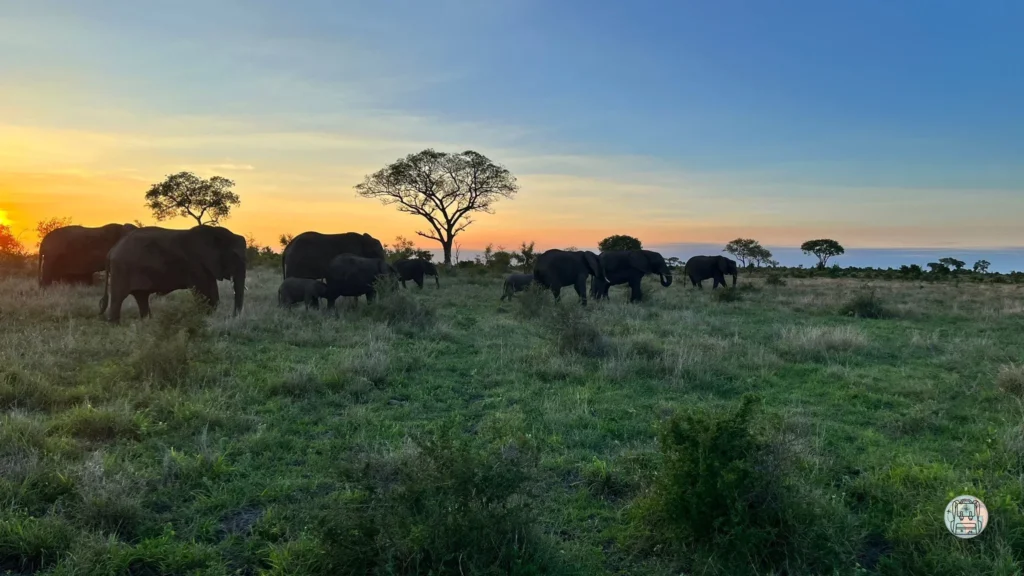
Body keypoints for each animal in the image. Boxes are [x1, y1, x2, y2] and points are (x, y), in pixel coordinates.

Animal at [99, 225, 247, 323]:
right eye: (235, 256)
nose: (232, 316)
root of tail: (111, 250)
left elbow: (212, 292)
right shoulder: (195, 263)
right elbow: (203, 292)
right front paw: (205, 318)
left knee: (141, 296)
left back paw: (147, 323)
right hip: (121, 269)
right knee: (119, 298)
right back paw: (115, 325)